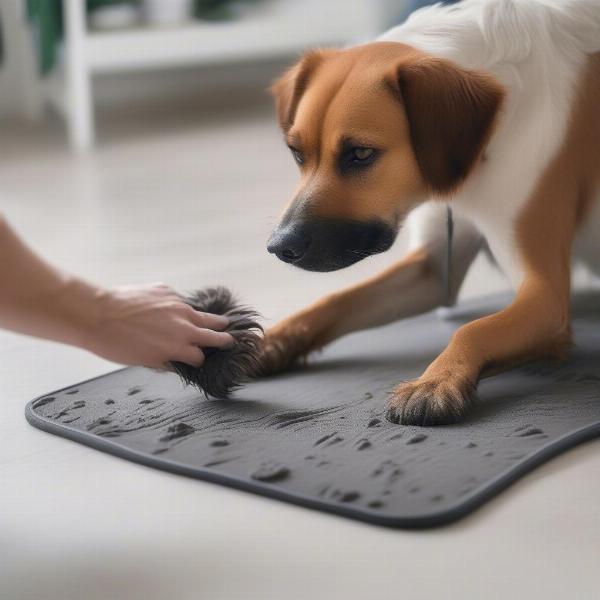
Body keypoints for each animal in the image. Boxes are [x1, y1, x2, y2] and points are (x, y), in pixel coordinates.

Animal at [260, 0, 600, 426]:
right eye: (296, 153)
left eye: (360, 154)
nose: (279, 247)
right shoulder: (434, 271)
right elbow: (337, 300)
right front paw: (267, 340)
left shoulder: (546, 296)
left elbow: (473, 329)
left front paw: (433, 383)